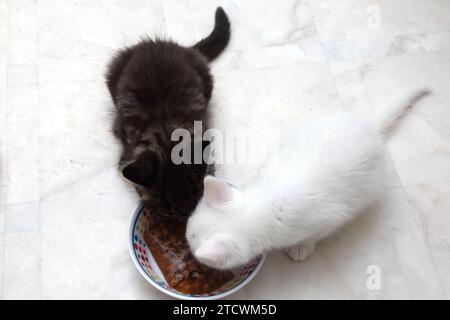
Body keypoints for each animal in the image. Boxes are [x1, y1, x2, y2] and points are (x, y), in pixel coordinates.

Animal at [186, 87, 428, 270]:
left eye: (190, 241)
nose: (187, 247)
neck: (264, 206)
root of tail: (369, 127)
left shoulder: (328, 219)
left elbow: (313, 236)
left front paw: (302, 247)